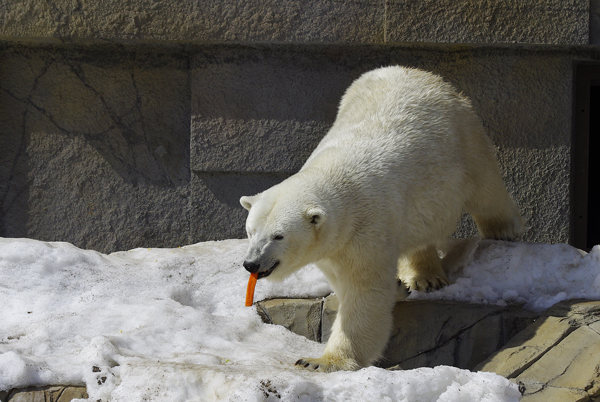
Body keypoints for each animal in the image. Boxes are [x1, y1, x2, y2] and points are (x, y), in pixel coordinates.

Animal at [240, 65, 524, 370]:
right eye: (251, 231)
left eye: (278, 235)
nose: (251, 263)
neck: (335, 176)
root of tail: (415, 72)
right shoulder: (335, 246)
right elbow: (346, 281)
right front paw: (399, 287)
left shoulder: (367, 228)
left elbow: (364, 291)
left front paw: (319, 361)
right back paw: (425, 277)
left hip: (464, 135)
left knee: (486, 188)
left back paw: (503, 230)